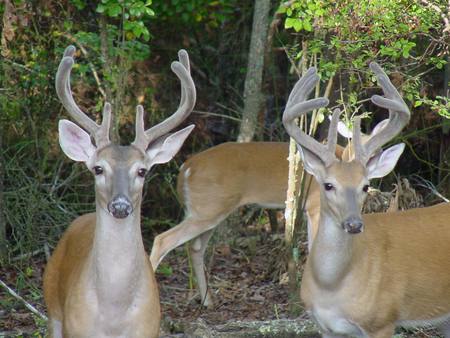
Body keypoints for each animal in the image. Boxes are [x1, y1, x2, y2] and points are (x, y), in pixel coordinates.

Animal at [43, 45, 196, 338]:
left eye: (142, 171)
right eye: (98, 168)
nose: (121, 206)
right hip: (52, 304)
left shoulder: (149, 329)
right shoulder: (75, 329)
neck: (114, 315)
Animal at [149, 67, 394, 308]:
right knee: (163, 240)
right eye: (355, 139)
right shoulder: (315, 205)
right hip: (207, 208)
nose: (373, 158)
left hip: (209, 210)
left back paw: (208, 301)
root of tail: (186, 168)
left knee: (195, 247)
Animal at [284, 64, 450, 338]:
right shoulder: (325, 327)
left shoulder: (382, 320)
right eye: (328, 185)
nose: (354, 225)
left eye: (365, 185)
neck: (331, 285)